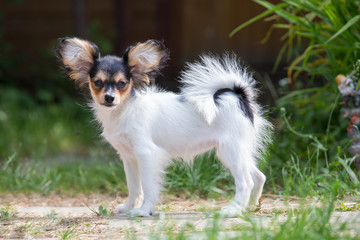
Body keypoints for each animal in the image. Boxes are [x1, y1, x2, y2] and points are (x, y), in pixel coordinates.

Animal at [54, 38, 272, 218]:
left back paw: (233, 210)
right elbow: (134, 186)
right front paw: (129, 207)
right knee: (259, 177)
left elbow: (148, 186)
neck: (124, 111)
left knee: (246, 181)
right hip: (240, 151)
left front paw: (144, 211)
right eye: (97, 82)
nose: (109, 98)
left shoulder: (147, 153)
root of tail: (236, 94)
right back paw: (249, 207)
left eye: (122, 84)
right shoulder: (129, 157)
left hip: (230, 150)